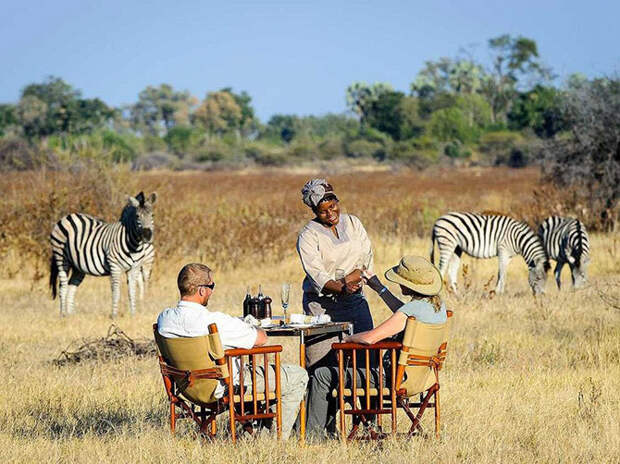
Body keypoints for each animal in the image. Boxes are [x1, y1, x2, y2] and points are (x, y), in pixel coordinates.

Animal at [50, 190, 157, 318]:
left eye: (152, 216)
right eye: (137, 216)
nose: (147, 236)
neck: (133, 244)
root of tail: (67, 217)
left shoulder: (134, 268)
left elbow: (132, 292)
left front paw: (133, 315)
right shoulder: (114, 267)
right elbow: (116, 292)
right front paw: (114, 316)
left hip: (78, 267)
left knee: (72, 287)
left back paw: (71, 315)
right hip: (61, 257)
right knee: (63, 286)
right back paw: (63, 315)